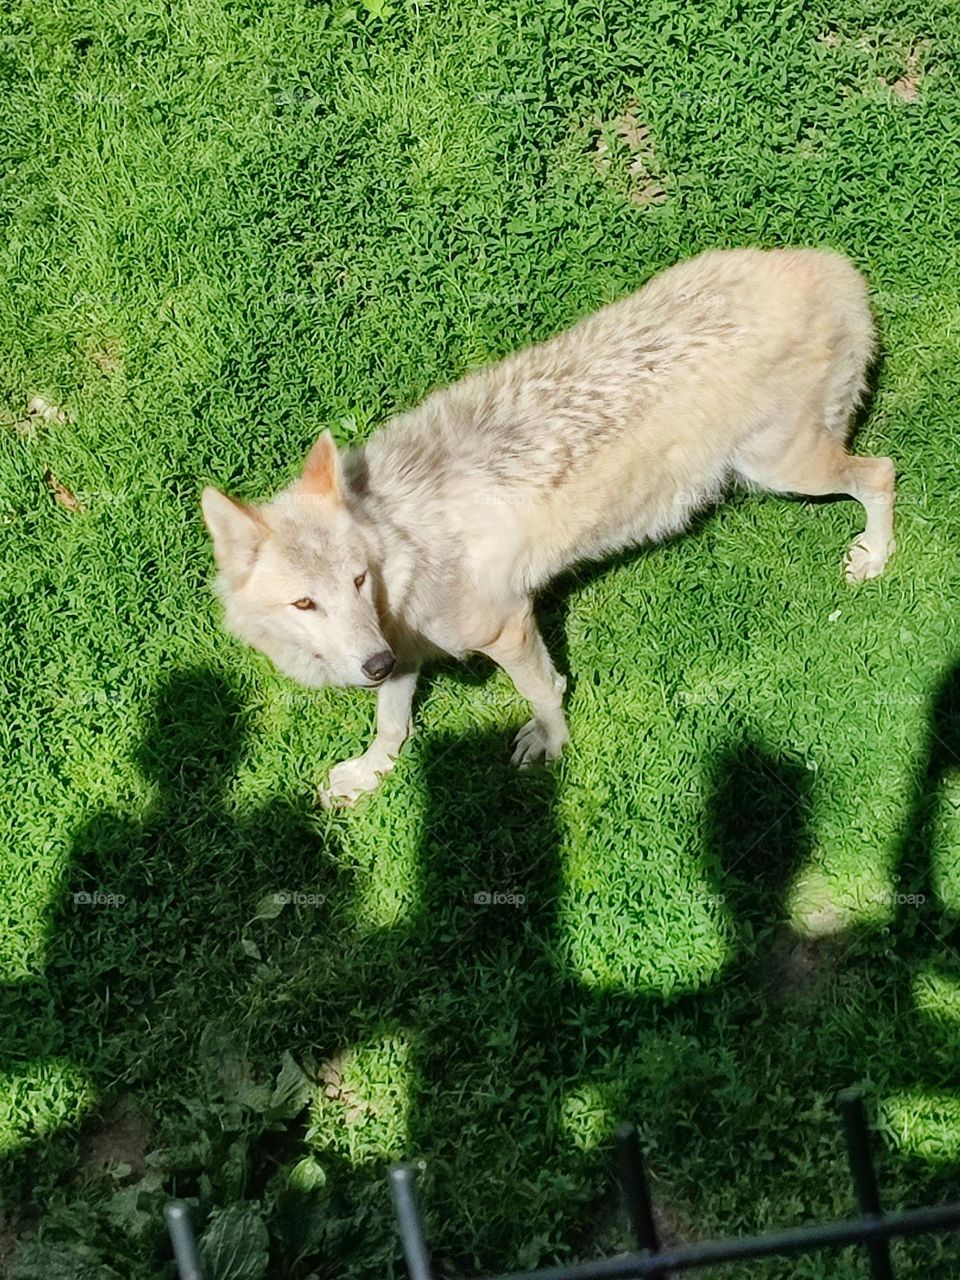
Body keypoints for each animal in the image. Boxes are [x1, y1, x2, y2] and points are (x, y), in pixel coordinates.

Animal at [202, 247, 895, 805]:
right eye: (306, 602)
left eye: (357, 580)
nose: (371, 662)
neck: (400, 544)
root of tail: (834, 268)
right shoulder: (404, 656)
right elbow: (391, 723)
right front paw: (371, 775)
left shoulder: (506, 626)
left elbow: (545, 692)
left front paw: (552, 748)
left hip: (781, 472)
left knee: (883, 472)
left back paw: (876, 556)